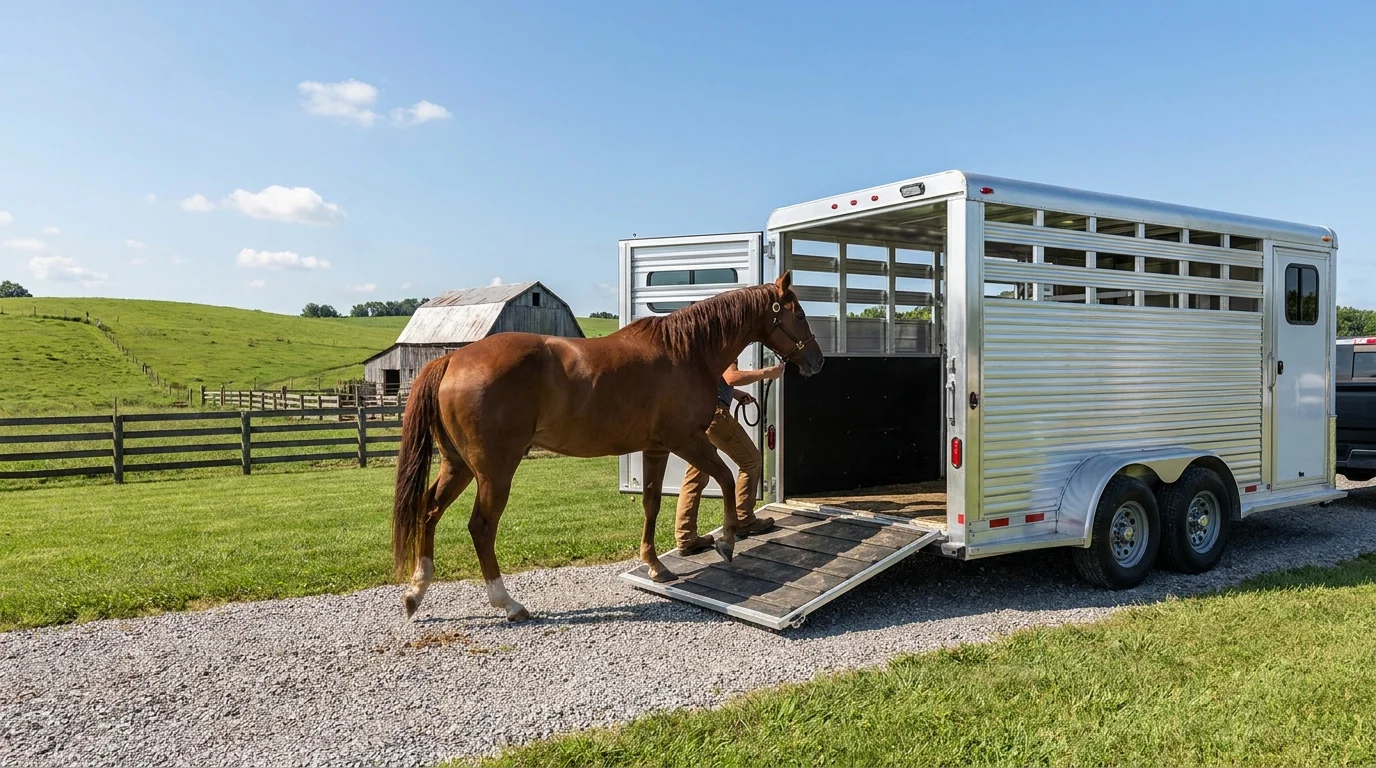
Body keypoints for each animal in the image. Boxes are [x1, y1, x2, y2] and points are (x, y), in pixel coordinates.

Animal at [390, 271, 825, 622]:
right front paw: (727, 541)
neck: (687, 351)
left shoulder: (657, 448)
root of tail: (451, 360)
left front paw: (655, 566)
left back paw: (416, 592)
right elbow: (724, 478)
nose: (818, 362)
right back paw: (508, 604)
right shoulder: (687, 440)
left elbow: (652, 503)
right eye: (800, 315)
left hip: (458, 465)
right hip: (494, 471)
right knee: (480, 527)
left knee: (429, 511)